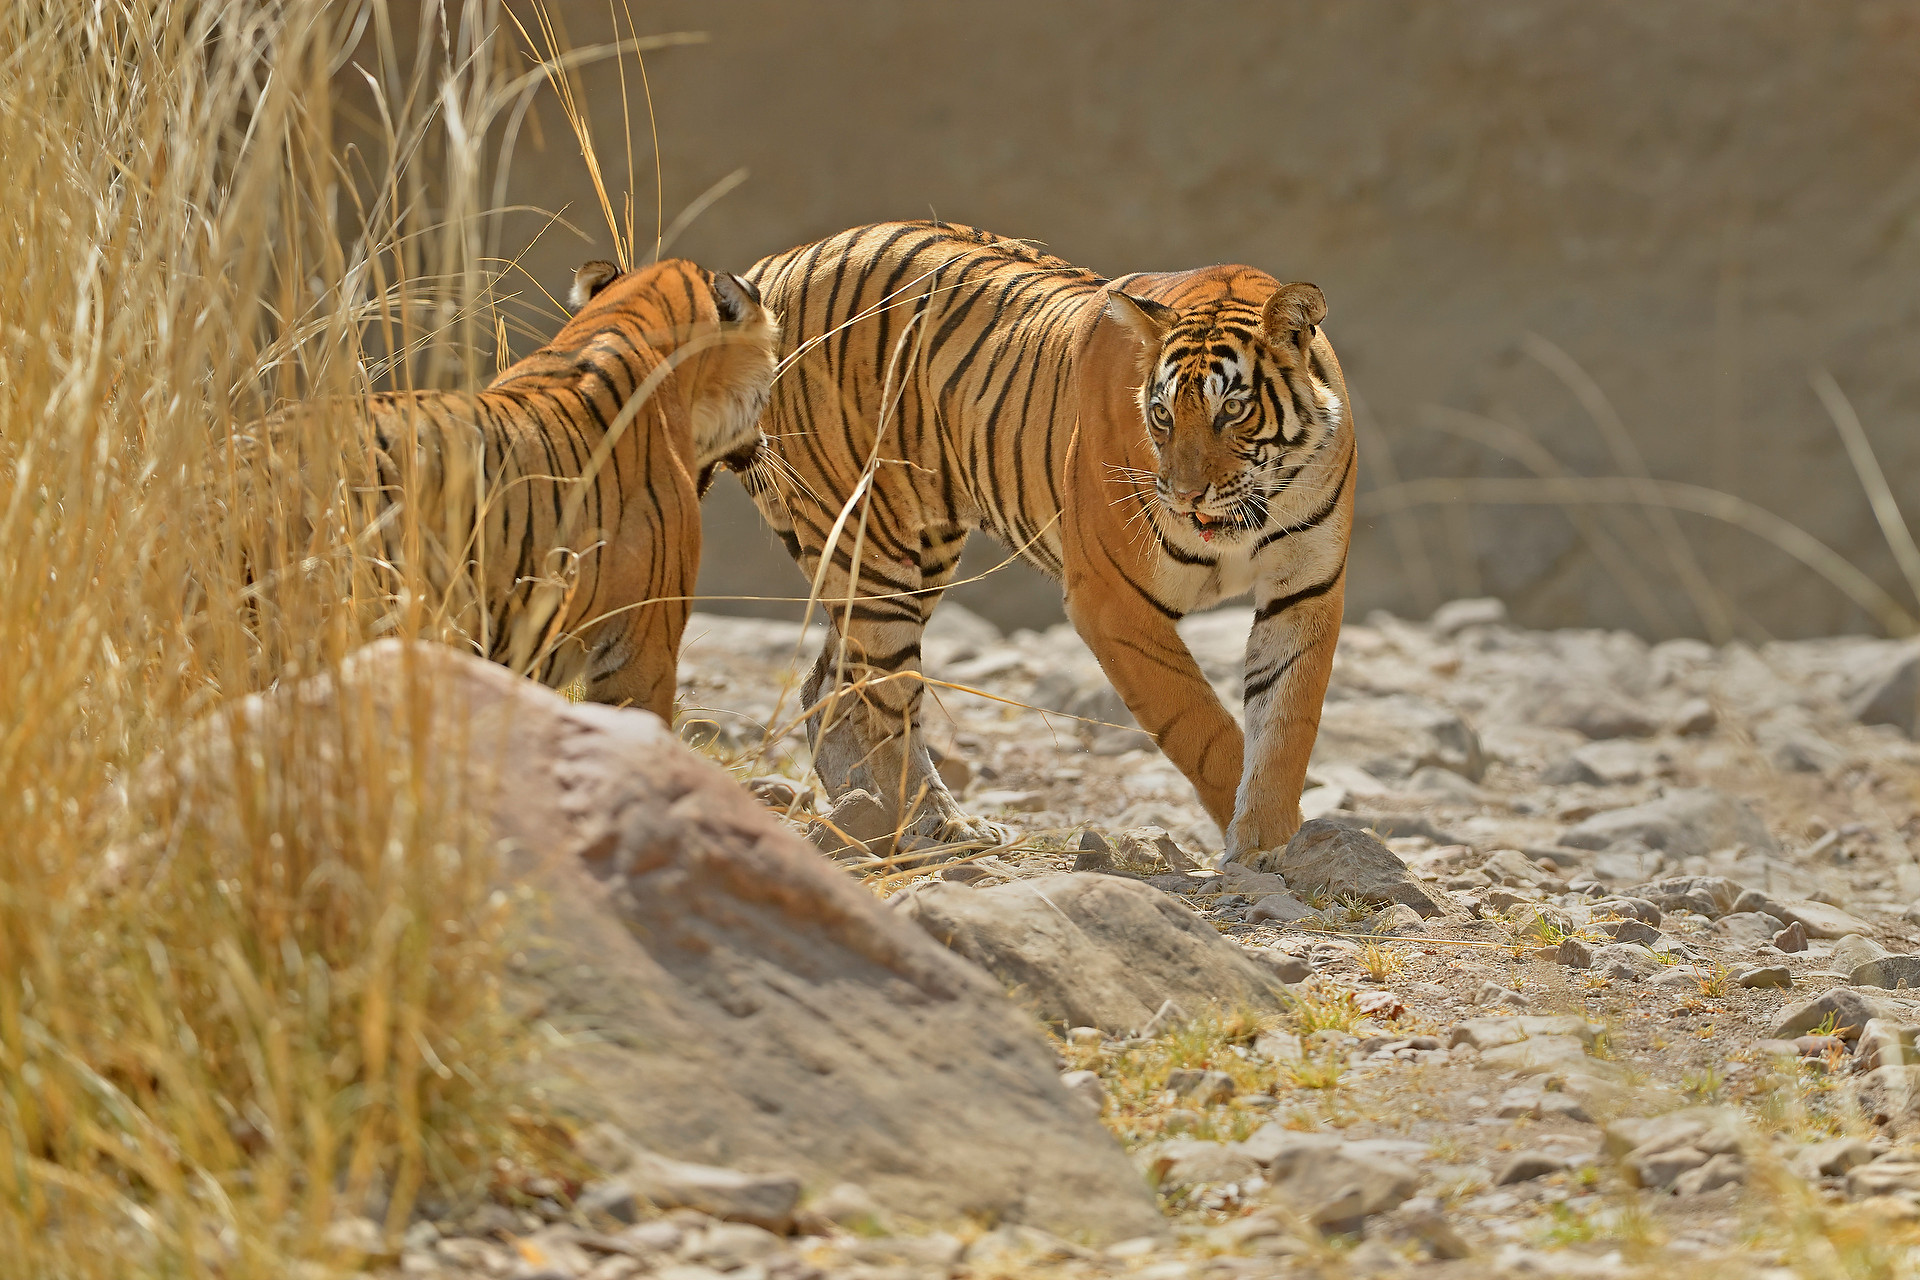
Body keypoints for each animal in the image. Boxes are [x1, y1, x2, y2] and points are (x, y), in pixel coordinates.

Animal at [738, 221, 1353, 860]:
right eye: (1161, 414)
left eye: (1232, 409)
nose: (1185, 496)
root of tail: (782, 261)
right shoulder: (1111, 601)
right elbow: (1200, 724)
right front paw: (1253, 842)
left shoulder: (1305, 589)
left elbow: (1285, 725)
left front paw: (1269, 839)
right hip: (874, 546)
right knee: (886, 702)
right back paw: (940, 827)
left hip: (911, 556)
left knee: (829, 687)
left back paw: (862, 815)